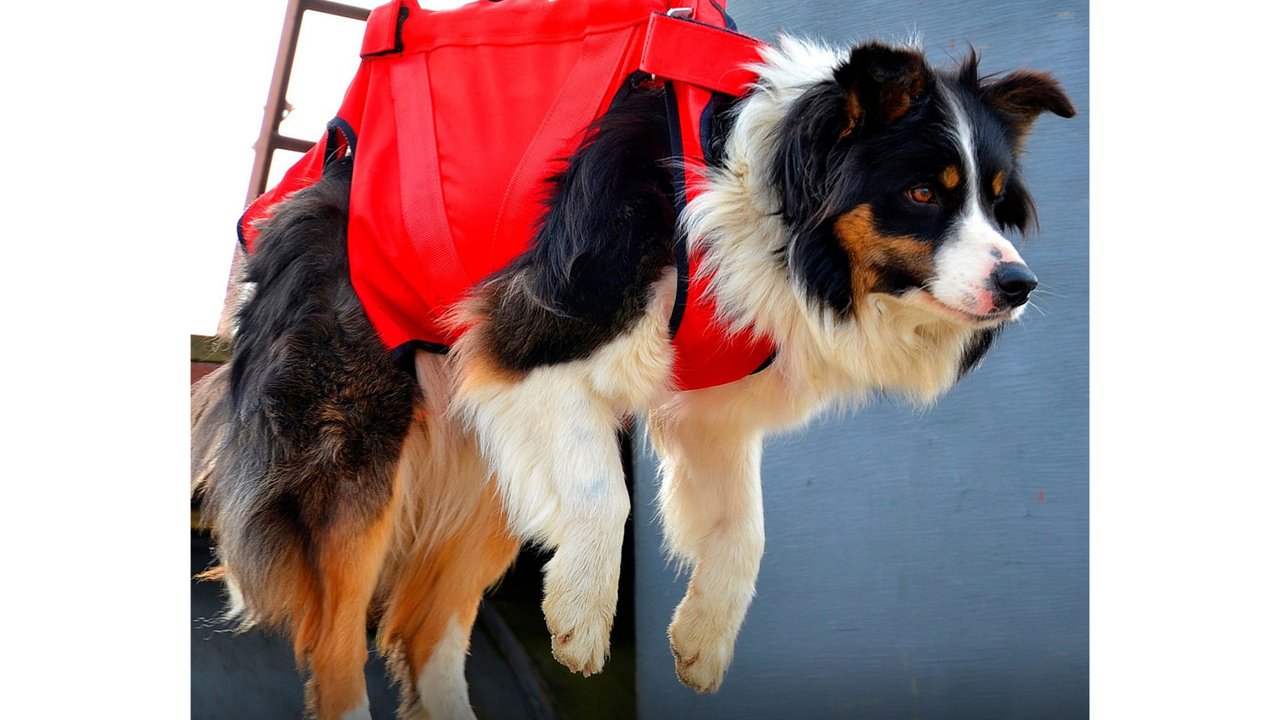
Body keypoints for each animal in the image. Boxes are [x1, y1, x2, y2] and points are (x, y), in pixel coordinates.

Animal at [189, 25, 1070, 712]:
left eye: (996, 201)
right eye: (923, 192)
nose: (1020, 285)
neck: (753, 197)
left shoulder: (712, 406)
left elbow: (747, 529)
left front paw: (702, 641)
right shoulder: (533, 332)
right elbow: (602, 495)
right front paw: (584, 619)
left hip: (485, 468)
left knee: (424, 628)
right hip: (354, 433)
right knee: (337, 637)